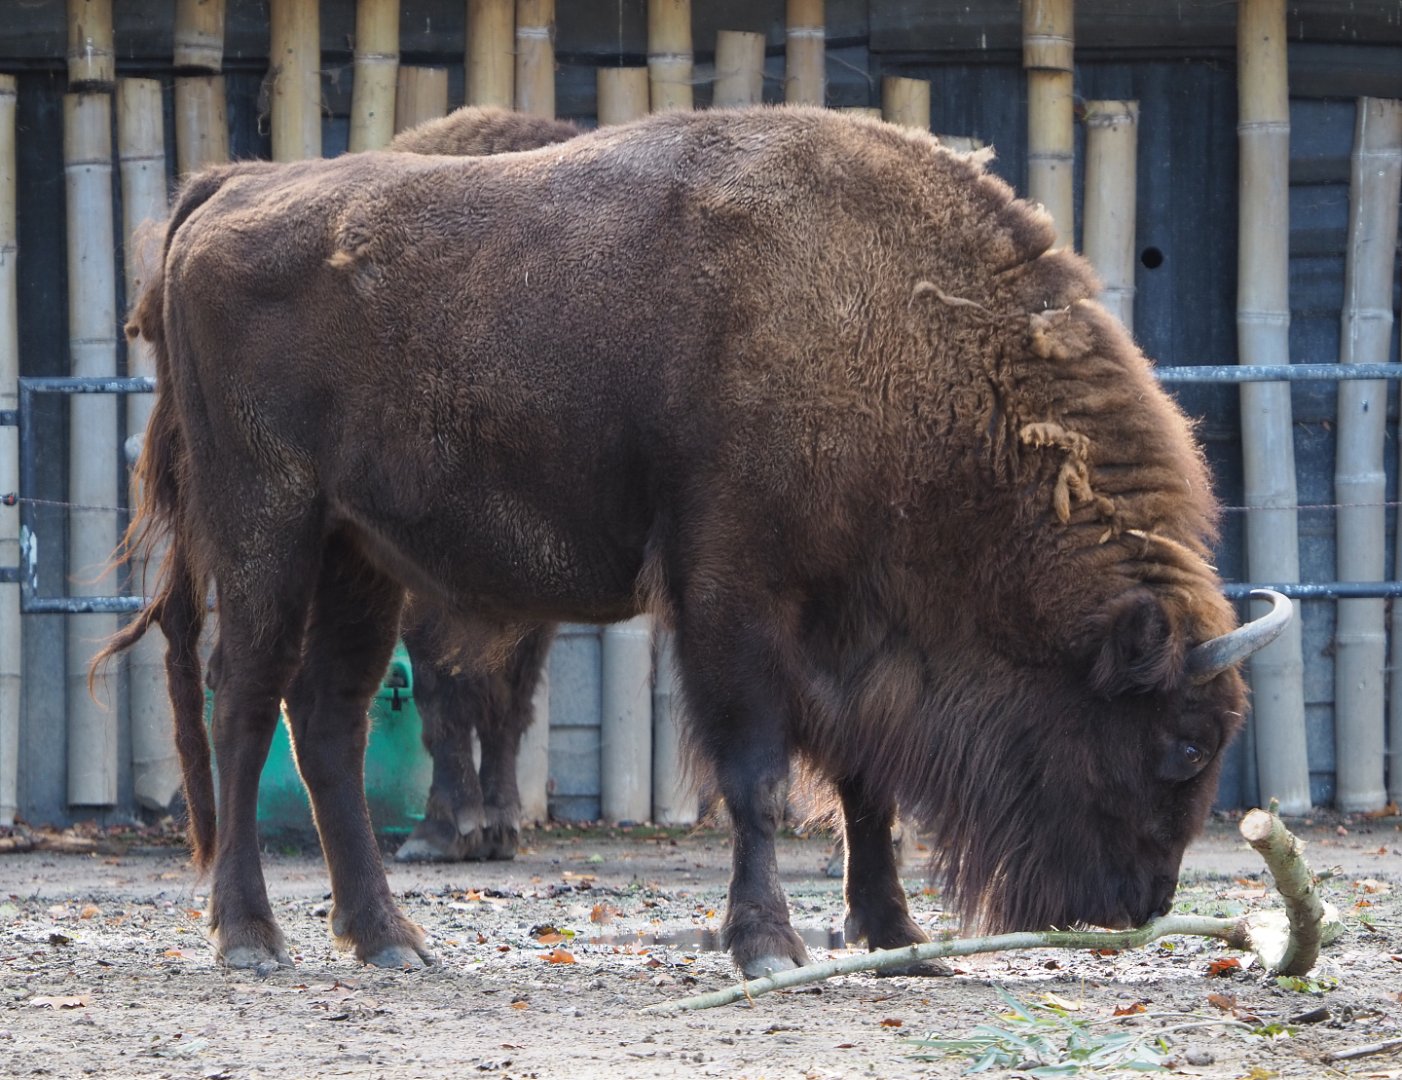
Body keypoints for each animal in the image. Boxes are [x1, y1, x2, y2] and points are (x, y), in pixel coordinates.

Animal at [104, 106, 1288, 978]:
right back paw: (252, 939)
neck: (886, 323)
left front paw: (890, 934)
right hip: (270, 528)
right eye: (1184, 743)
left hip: (362, 557)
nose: (1137, 907)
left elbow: (862, 783)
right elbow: (756, 772)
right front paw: (766, 945)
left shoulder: (848, 625)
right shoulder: (733, 593)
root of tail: (231, 189)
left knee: (330, 719)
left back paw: (389, 940)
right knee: (242, 702)